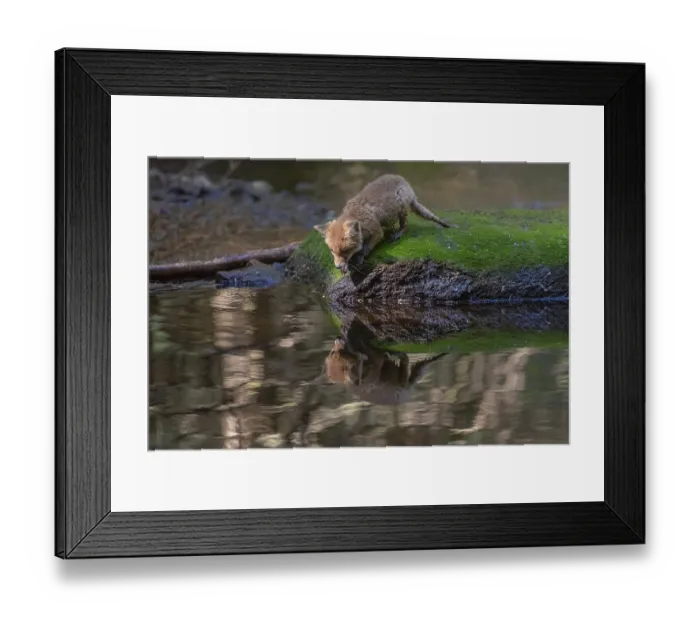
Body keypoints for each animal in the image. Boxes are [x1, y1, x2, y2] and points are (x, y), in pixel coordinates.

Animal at [313, 174, 455, 273]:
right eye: (332, 250)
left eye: (345, 250)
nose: (337, 266)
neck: (357, 214)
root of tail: (407, 184)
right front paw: (346, 266)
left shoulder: (377, 231)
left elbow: (367, 247)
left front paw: (359, 258)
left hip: (401, 205)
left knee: (405, 224)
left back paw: (397, 233)